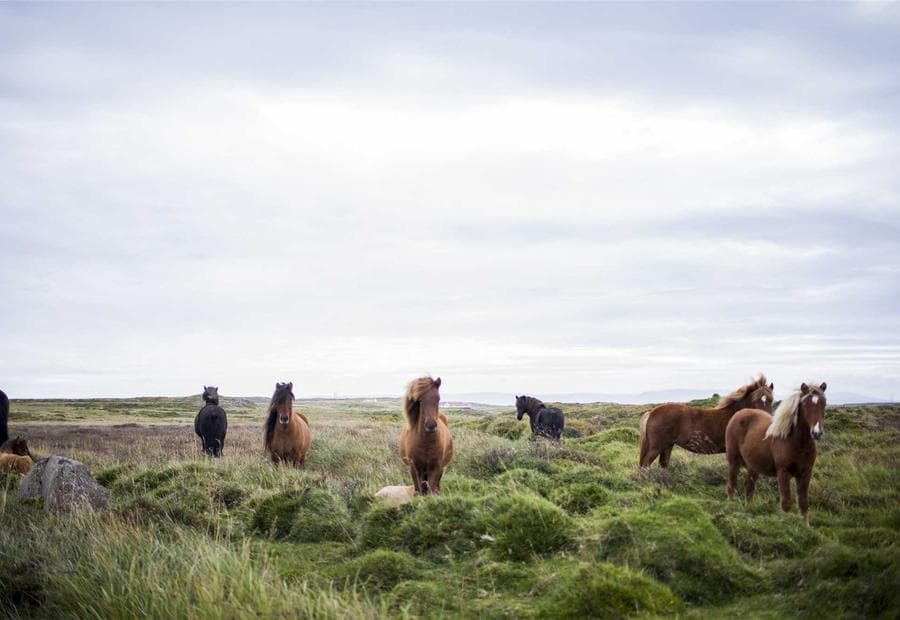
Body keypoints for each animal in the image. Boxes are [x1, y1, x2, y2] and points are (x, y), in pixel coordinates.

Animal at [639, 374, 773, 468]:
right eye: (755, 400)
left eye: (771, 400)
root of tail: (651, 412)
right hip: (657, 447)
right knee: (645, 464)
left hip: (667, 446)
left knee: (663, 464)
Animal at [726, 382, 827, 522]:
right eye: (805, 404)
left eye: (824, 403)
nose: (816, 433)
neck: (796, 442)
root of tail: (738, 414)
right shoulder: (783, 473)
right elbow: (786, 503)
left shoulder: (805, 473)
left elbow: (803, 503)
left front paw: (804, 525)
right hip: (733, 461)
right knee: (732, 484)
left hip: (753, 466)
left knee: (749, 487)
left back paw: (749, 510)